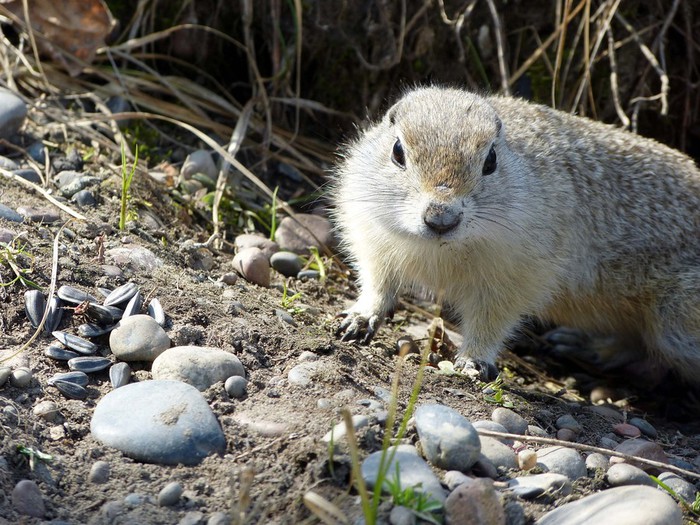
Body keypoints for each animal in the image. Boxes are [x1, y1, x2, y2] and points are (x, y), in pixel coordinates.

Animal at [330, 86, 700, 380]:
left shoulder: (516, 275)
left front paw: (473, 362)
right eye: (397, 152)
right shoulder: (372, 236)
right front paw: (358, 318)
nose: (441, 218)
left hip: (677, 321)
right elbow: (379, 285)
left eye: (491, 160)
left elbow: (492, 320)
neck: (443, 247)